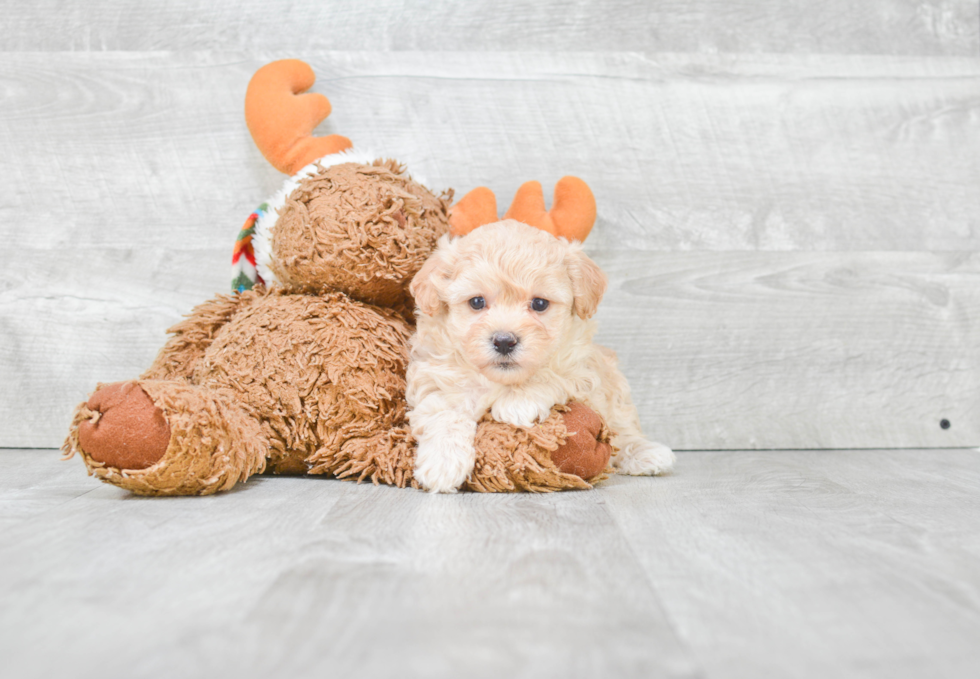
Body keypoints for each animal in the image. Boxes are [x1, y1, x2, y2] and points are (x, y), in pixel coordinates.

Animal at [406, 220, 672, 492]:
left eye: (540, 304)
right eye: (477, 302)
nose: (504, 341)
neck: (502, 381)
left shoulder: (582, 368)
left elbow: (552, 373)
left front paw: (517, 402)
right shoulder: (437, 378)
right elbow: (443, 414)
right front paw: (442, 462)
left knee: (623, 427)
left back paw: (647, 453)